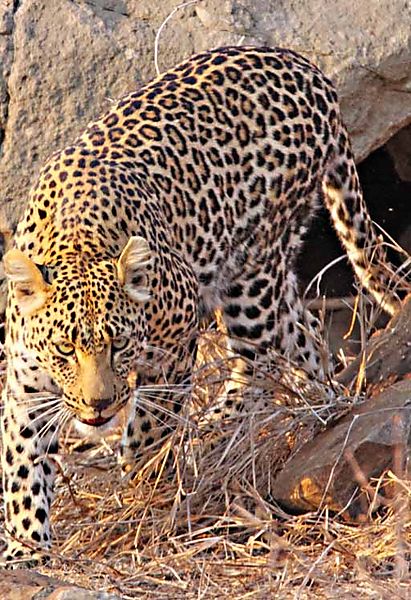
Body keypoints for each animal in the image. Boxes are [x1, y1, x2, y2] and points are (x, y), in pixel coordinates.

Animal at [0, 45, 402, 564]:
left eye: (119, 345)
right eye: (65, 350)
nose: (99, 406)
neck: (76, 244)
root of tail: (309, 69)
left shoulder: (174, 339)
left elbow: (151, 424)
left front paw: (137, 482)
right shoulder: (26, 386)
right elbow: (24, 466)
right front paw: (27, 545)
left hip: (251, 271)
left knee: (257, 366)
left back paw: (216, 428)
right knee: (305, 333)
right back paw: (319, 404)